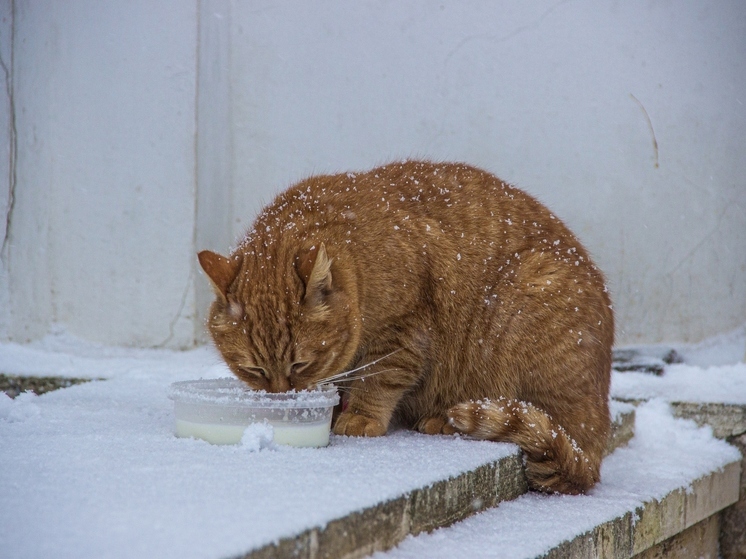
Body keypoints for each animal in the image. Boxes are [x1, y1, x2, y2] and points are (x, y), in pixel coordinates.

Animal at [198, 162, 612, 494]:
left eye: (301, 365)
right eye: (253, 371)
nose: (284, 401)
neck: (359, 259)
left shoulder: (403, 333)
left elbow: (378, 379)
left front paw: (360, 416)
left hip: (523, 300)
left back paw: (445, 420)